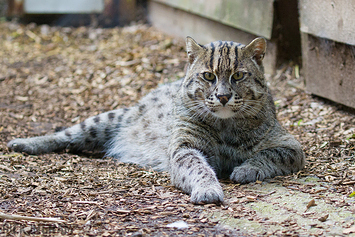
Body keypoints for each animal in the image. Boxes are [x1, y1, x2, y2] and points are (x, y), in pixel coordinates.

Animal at [6, 36, 306, 204]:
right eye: (209, 76)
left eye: (238, 76)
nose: (222, 97)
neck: (225, 123)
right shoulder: (184, 147)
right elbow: (198, 167)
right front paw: (208, 188)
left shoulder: (291, 146)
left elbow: (268, 155)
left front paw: (246, 169)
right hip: (104, 120)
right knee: (65, 135)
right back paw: (25, 143)